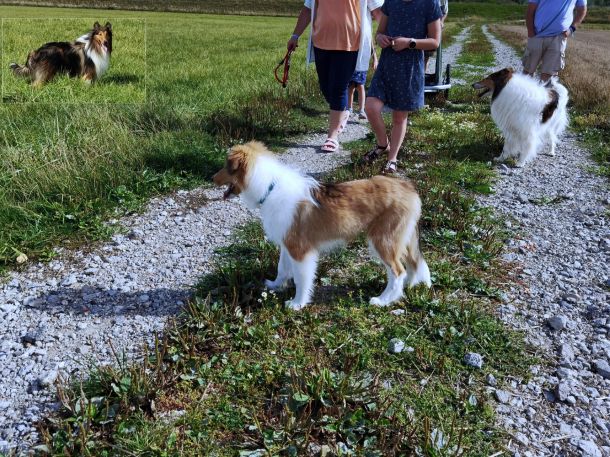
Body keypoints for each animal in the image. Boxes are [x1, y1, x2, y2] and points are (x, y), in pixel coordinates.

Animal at [213, 141, 431, 310]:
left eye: (225, 166)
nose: (212, 178)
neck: (270, 187)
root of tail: (408, 187)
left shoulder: (300, 250)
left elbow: (301, 279)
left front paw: (297, 304)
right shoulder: (287, 244)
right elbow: (282, 269)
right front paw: (275, 285)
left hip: (383, 240)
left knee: (398, 271)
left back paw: (383, 300)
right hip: (401, 239)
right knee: (411, 265)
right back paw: (408, 288)